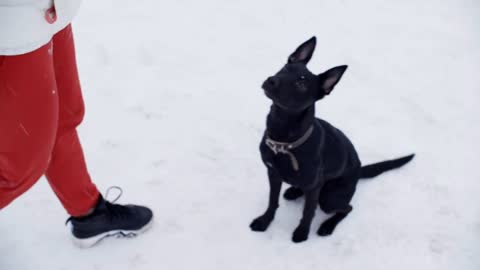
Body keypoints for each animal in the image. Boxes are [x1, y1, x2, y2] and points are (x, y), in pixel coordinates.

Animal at [249, 37, 414, 244]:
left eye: (301, 85)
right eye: (285, 69)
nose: (272, 80)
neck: (285, 140)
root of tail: (359, 170)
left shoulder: (313, 189)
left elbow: (308, 212)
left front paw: (302, 233)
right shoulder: (273, 174)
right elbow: (272, 202)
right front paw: (264, 222)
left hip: (329, 198)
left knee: (347, 208)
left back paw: (327, 226)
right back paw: (294, 191)